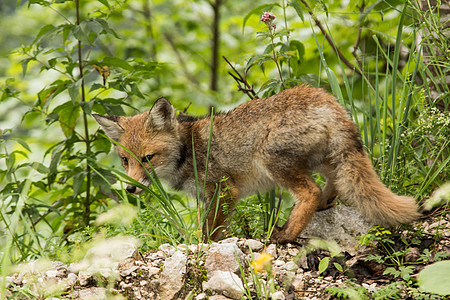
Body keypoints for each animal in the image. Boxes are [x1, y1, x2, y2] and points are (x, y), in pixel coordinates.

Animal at [93, 85, 420, 244]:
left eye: (148, 158)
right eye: (125, 160)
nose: (130, 189)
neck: (188, 150)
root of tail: (326, 99)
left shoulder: (223, 191)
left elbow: (208, 231)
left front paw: (200, 247)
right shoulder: (207, 197)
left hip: (272, 160)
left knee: (310, 192)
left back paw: (287, 234)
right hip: (326, 160)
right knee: (335, 183)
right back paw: (324, 205)